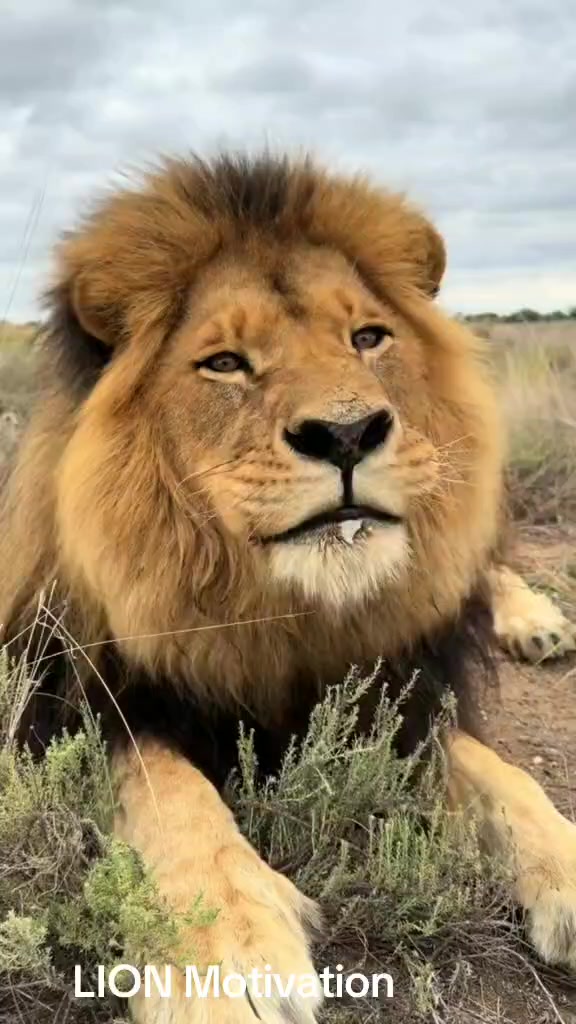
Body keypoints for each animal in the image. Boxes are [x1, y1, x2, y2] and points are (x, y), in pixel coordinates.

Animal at [1, 153, 575, 1023]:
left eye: (367, 338)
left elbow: (499, 774)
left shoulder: (399, 692)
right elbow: (164, 786)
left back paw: (538, 620)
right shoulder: (70, 701)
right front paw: (225, 950)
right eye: (226, 363)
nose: (346, 433)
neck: (284, 614)